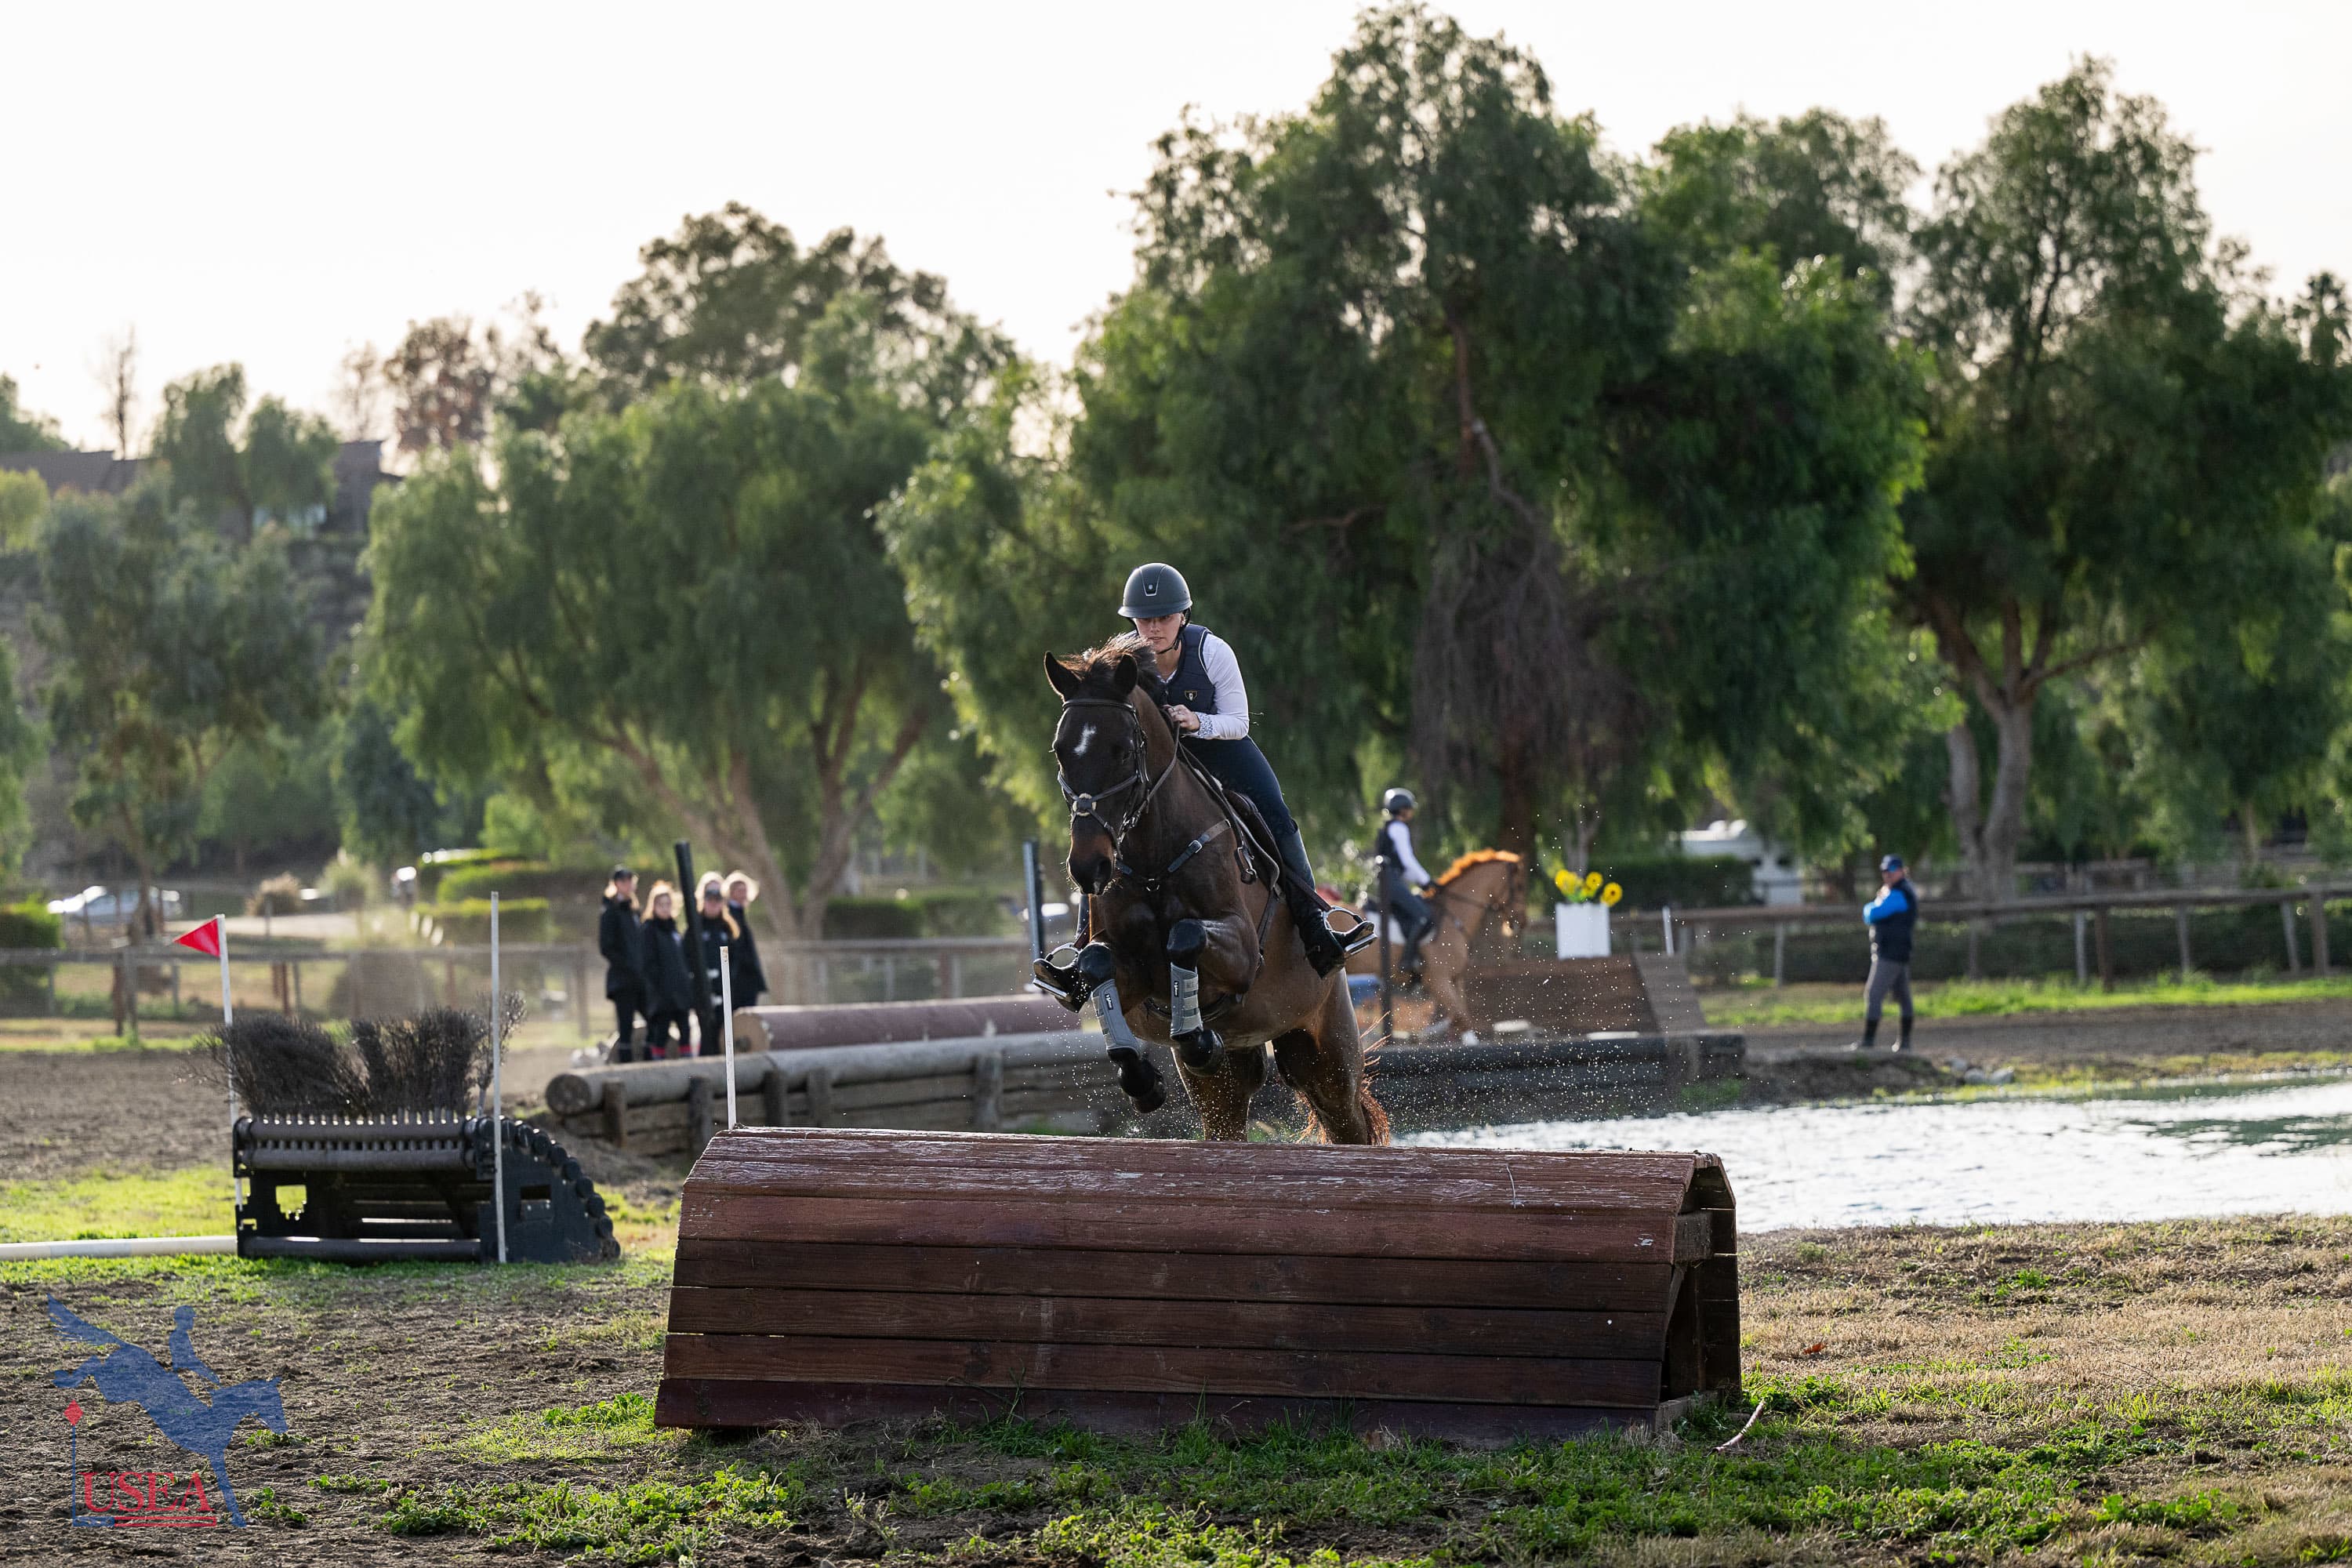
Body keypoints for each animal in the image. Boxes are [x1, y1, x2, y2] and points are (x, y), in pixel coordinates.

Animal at [48, 1298, 287, 1528]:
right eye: (271, 1401)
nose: (283, 1428)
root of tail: (128, 1345)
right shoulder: (215, 1453)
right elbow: (226, 1488)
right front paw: (238, 1518)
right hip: (116, 1390)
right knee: (94, 1363)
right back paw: (65, 1378)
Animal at [1040, 639, 1388, 1144]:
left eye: (1122, 751)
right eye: (1061, 752)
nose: (1089, 868)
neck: (1154, 856)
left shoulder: (1242, 951)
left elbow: (1185, 935)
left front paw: (1197, 1038)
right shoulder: (1133, 976)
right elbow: (1096, 963)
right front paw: (1141, 1079)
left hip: (1327, 1054)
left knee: (1346, 1119)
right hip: (1228, 1085)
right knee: (1227, 1116)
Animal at [1347, 849, 1527, 1036]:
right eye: (1520, 886)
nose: (1522, 922)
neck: (1454, 917)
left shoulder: (1455, 979)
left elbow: (1462, 1020)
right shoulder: (1437, 980)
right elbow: (1462, 1020)